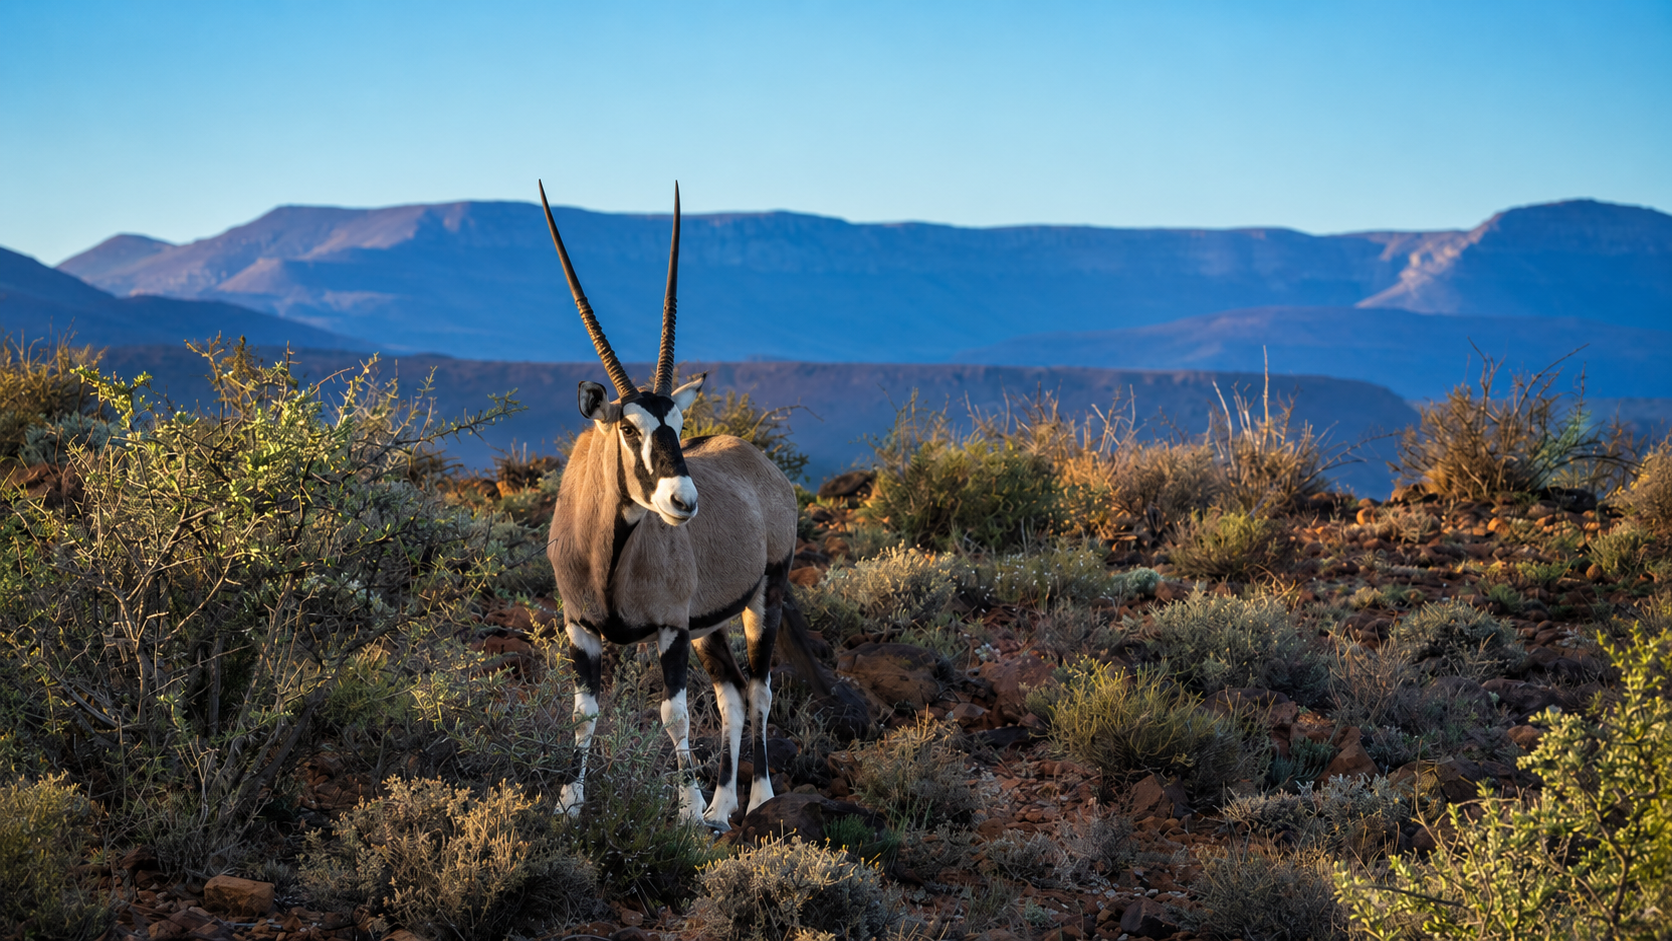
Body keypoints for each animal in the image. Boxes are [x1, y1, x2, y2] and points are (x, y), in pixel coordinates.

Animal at [540, 181, 826, 830]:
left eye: (678, 424)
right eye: (628, 428)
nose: (682, 500)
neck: (607, 554)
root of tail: (761, 463)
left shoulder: (669, 628)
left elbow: (675, 715)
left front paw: (687, 812)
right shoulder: (580, 628)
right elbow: (583, 714)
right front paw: (569, 805)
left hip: (766, 596)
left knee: (760, 690)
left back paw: (760, 799)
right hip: (710, 627)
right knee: (732, 695)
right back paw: (724, 806)